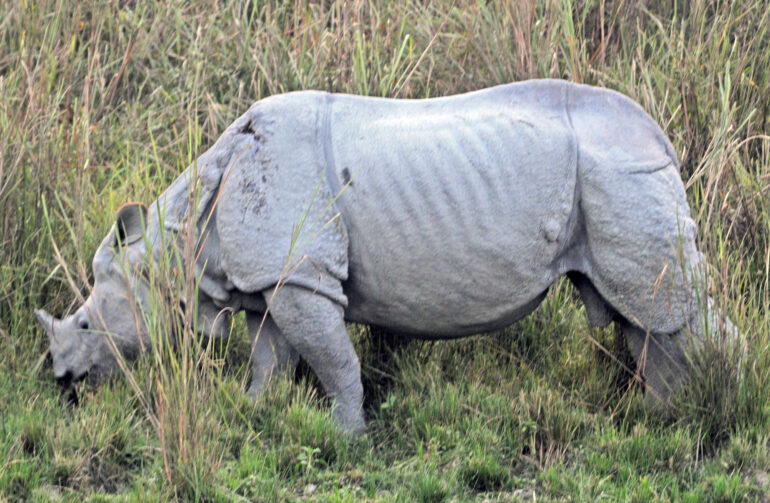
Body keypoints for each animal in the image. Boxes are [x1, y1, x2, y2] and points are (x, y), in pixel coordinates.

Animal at [35, 79, 736, 433]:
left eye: (88, 323)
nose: (61, 381)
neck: (177, 244)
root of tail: (662, 138)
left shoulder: (304, 275)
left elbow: (332, 360)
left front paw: (347, 438)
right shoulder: (275, 278)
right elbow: (271, 359)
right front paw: (254, 413)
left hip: (620, 172)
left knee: (667, 307)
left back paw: (721, 406)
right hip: (611, 175)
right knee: (642, 314)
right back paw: (657, 421)